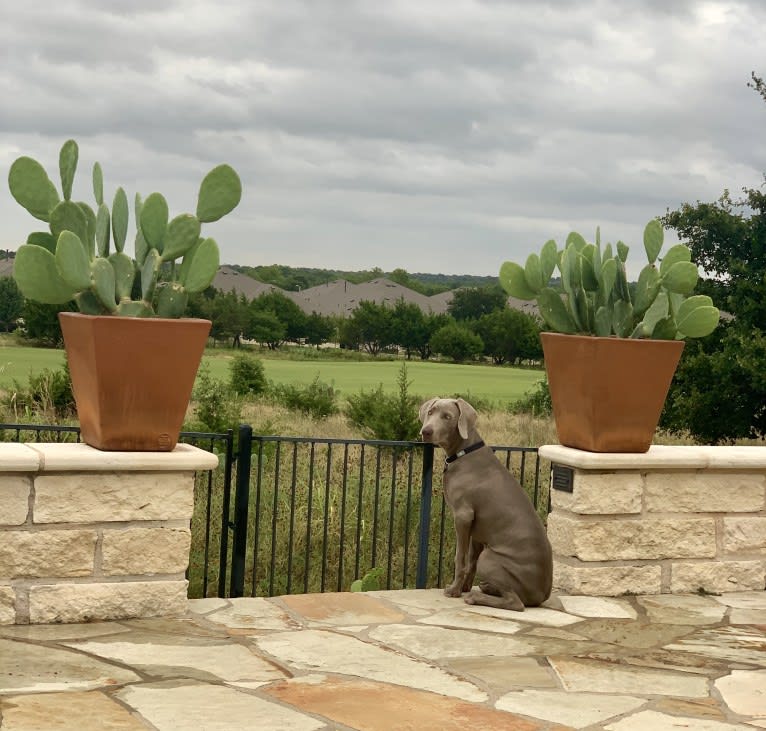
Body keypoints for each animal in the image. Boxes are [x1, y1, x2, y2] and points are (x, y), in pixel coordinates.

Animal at [420, 398, 552, 608]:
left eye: (447, 417)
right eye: (431, 412)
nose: (426, 431)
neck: (464, 452)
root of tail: (542, 594)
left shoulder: (463, 516)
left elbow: (460, 557)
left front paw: (454, 591)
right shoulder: (477, 528)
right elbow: (471, 560)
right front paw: (464, 588)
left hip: (490, 558)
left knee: (516, 602)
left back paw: (477, 597)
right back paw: (487, 588)